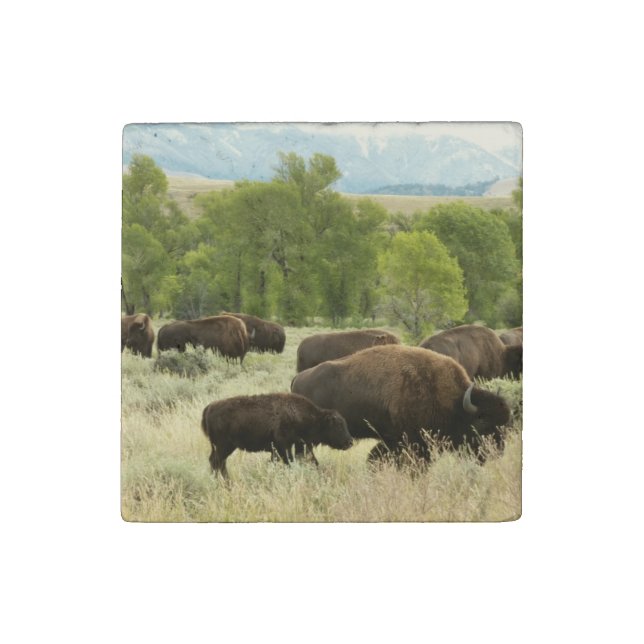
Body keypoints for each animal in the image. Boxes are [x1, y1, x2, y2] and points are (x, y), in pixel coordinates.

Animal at [201, 393, 354, 478]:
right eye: (337, 425)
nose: (350, 442)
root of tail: (210, 407)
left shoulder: (287, 447)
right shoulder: (283, 446)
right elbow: (289, 462)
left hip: (223, 447)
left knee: (217, 462)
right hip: (224, 446)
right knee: (217, 462)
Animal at [291, 344, 511, 464]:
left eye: (504, 425)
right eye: (482, 424)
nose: (497, 453)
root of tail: (298, 378)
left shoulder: (394, 439)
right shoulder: (413, 440)